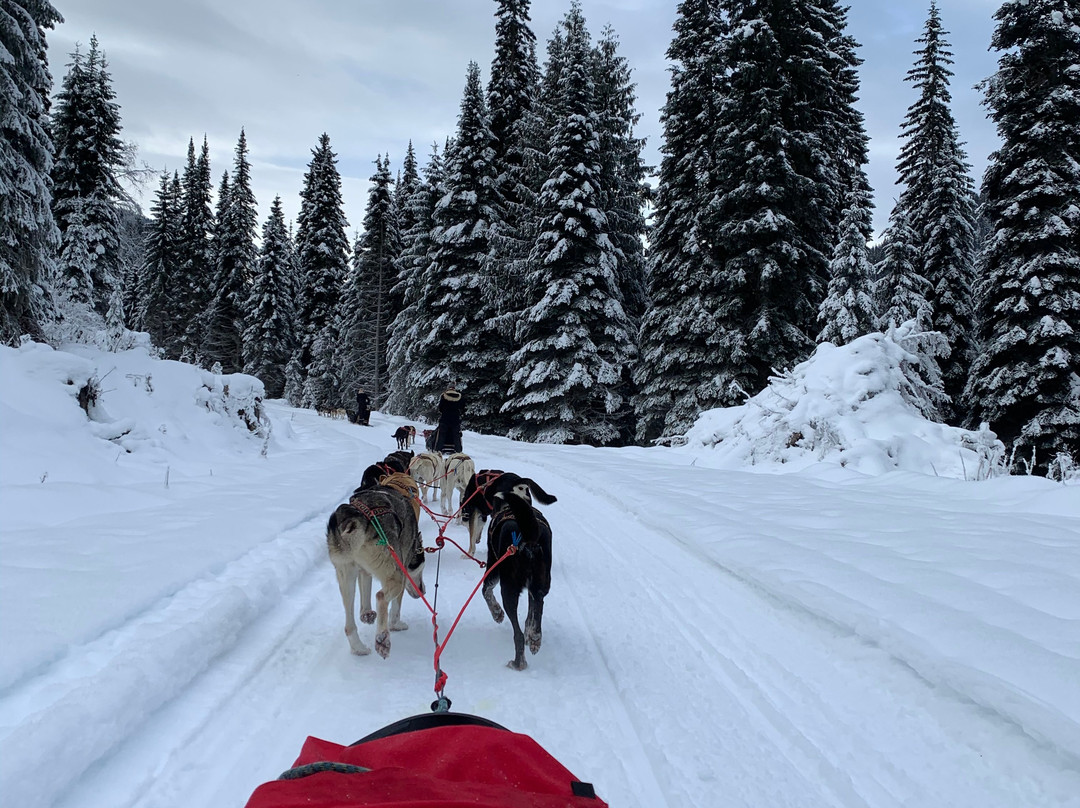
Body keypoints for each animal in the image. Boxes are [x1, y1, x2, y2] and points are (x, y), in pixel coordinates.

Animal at [326, 483, 427, 661]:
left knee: (349, 624)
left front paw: (367, 614)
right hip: (397, 576)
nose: (423, 591)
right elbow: (395, 609)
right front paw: (396, 625)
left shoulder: (364, 571)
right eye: (420, 569)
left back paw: (358, 648)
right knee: (380, 597)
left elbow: (365, 597)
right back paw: (382, 639)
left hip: (346, 575)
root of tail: (355, 519)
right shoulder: (402, 571)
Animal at [481, 488, 552, 674]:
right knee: (539, 604)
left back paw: (518, 663)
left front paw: (496, 613)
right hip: (541, 583)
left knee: (517, 634)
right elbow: (531, 613)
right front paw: (530, 633)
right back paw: (535, 638)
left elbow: (485, 591)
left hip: (508, 588)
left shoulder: (493, 568)